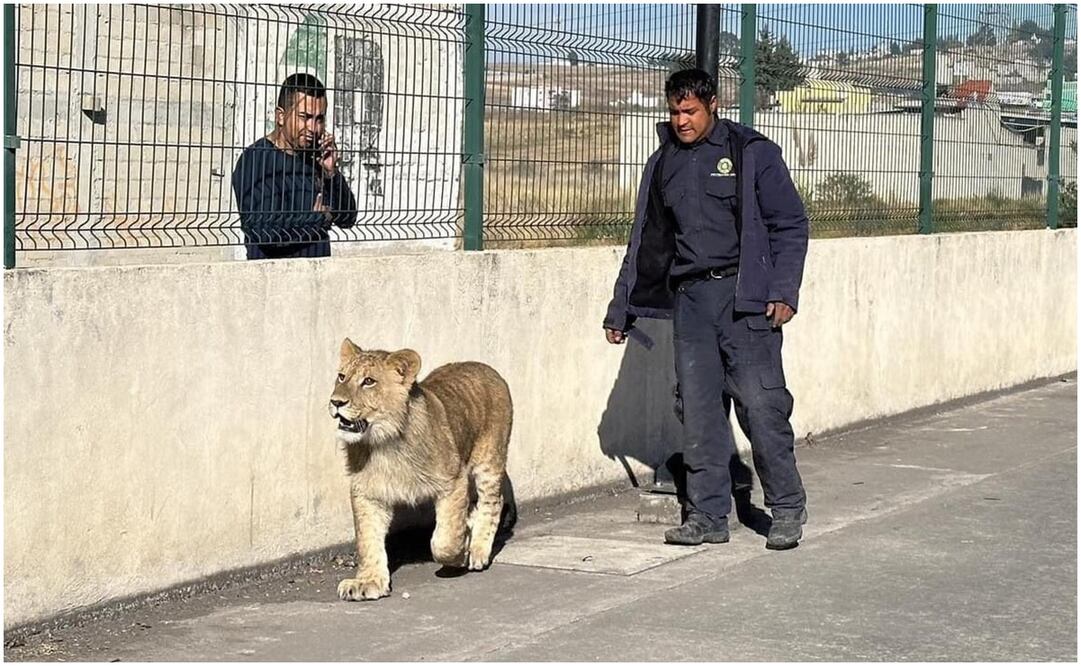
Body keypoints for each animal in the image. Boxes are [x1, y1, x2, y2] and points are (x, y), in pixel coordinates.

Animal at [328, 339, 513, 601]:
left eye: (369, 381)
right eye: (342, 377)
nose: (336, 402)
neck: (384, 443)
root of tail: (485, 367)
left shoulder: (453, 480)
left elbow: (445, 540)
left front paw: (460, 554)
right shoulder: (368, 494)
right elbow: (368, 540)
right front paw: (368, 582)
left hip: (490, 461)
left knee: (493, 502)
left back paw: (478, 550)